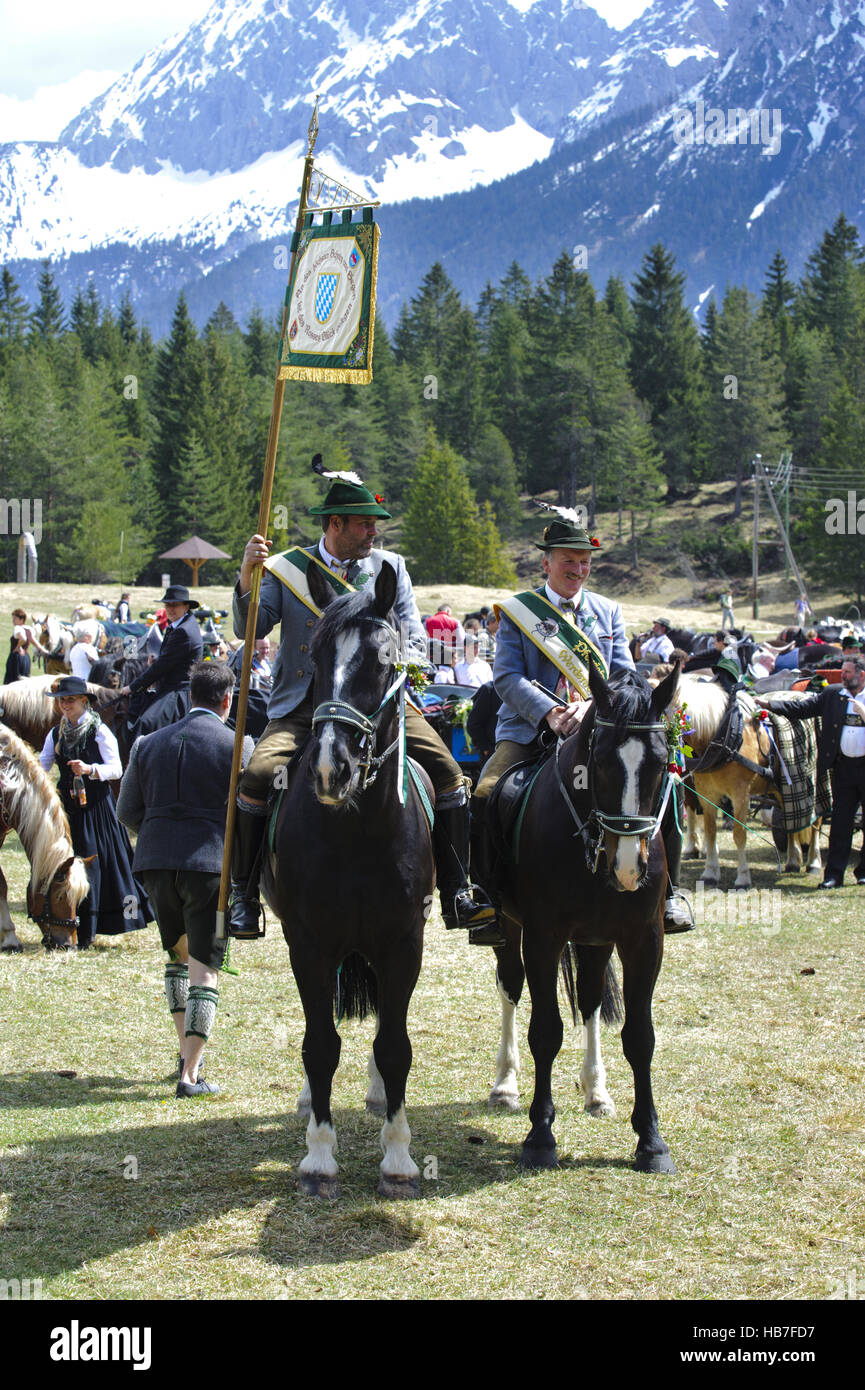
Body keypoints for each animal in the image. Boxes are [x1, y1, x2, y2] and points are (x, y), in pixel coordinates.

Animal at [258, 558, 431, 1200]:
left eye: (384, 662)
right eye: (315, 658)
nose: (333, 768)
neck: (357, 829)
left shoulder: (403, 942)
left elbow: (395, 1045)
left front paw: (399, 1158)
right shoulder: (309, 943)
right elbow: (320, 1044)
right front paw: (319, 1157)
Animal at [489, 658, 684, 1173]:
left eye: (662, 764)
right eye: (600, 763)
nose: (629, 868)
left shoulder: (643, 940)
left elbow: (640, 1036)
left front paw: (650, 1141)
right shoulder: (542, 937)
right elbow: (545, 1032)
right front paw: (540, 1136)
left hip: (596, 939)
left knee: (593, 998)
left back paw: (596, 1092)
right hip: (509, 930)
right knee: (510, 988)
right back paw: (505, 1085)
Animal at [681, 678, 823, 884]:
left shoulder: (740, 794)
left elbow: (739, 834)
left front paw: (743, 877)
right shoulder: (707, 793)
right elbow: (710, 831)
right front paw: (710, 872)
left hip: (814, 784)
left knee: (816, 822)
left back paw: (813, 862)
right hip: (782, 789)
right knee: (789, 820)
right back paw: (793, 860)